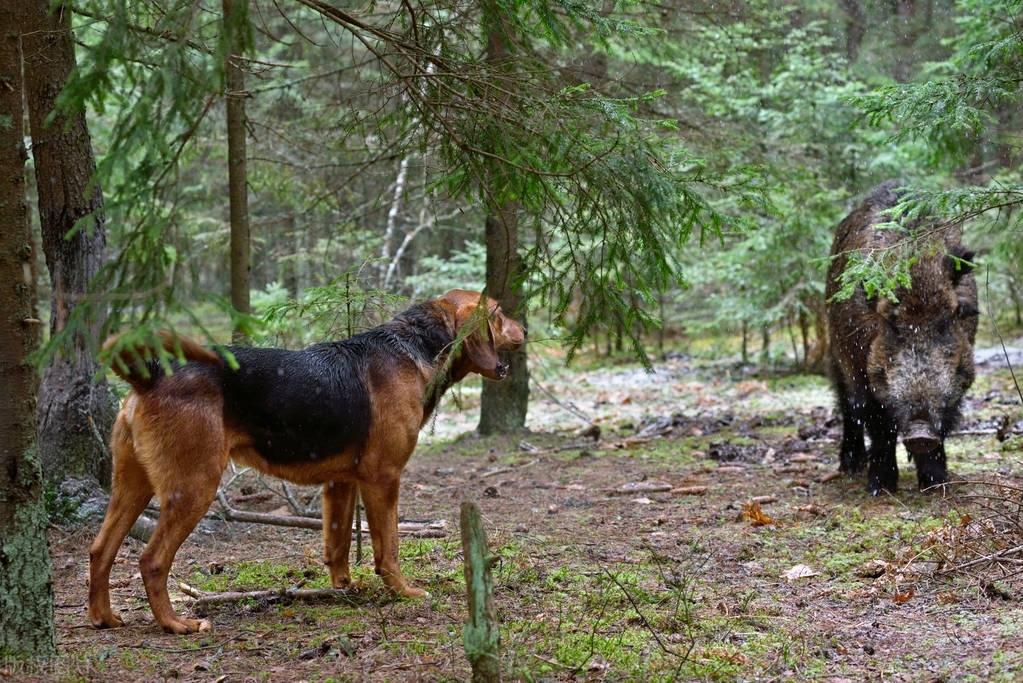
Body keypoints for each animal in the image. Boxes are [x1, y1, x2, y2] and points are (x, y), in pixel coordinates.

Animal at [87, 290, 527, 633]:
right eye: (499, 313)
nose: (526, 329)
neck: (413, 347)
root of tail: (150, 375)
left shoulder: (341, 482)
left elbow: (338, 545)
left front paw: (345, 587)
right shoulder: (384, 478)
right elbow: (389, 549)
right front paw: (403, 591)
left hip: (132, 486)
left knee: (100, 550)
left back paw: (104, 617)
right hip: (194, 488)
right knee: (152, 560)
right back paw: (175, 624)